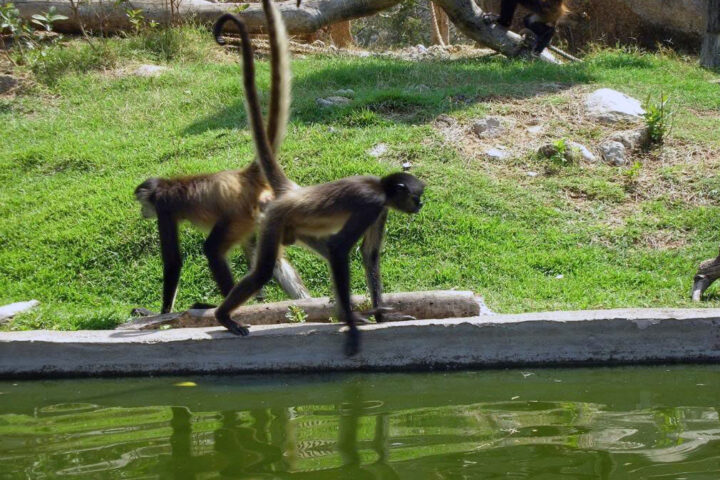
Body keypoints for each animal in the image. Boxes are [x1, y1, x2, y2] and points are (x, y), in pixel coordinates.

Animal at [132, 0, 308, 316]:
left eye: (144, 204)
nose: (142, 213)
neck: (165, 184)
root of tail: (243, 175)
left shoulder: (164, 207)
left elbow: (174, 262)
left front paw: (161, 313)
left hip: (238, 215)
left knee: (212, 250)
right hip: (260, 215)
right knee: (272, 262)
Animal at [213, 9, 425, 356]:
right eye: (417, 196)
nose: (421, 205)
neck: (381, 188)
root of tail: (292, 192)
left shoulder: (380, 210)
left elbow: (369, 256)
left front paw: (381, 316)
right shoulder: (371, 205)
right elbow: (341, 249)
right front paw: (353, 329)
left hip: (296, 227)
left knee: (322, 250)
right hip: (274, 219)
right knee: (264, 270)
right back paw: (223, 316)